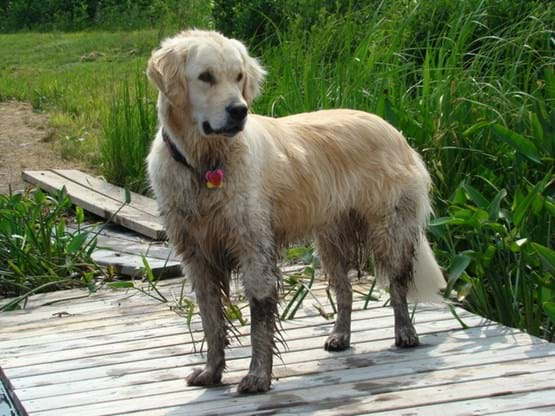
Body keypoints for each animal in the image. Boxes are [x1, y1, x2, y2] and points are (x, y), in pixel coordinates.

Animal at [146, 29, 446, 394]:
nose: (239, 110)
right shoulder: (195, 255)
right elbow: (211, 320)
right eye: (205, 77)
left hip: (388, 228)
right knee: (344, 291)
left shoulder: (254, 248)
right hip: (330, 241)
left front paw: (257, 377)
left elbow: (259, 322)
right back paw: (339, 336)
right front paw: (212, 372)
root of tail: (394, 130)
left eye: (239, 76)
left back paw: (405, 333)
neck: (204, 165)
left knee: (398, 285)